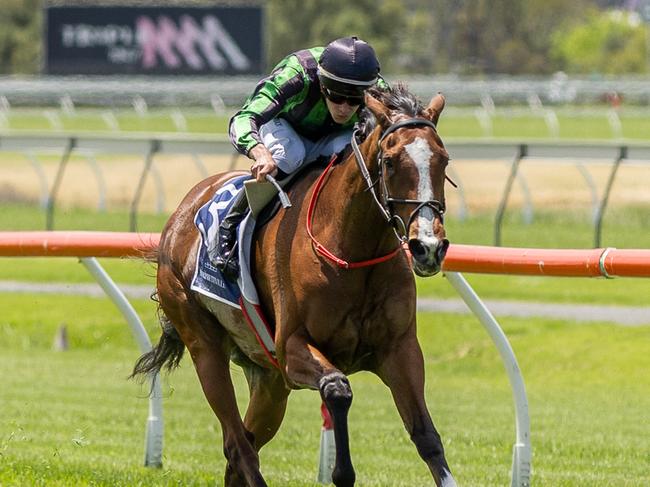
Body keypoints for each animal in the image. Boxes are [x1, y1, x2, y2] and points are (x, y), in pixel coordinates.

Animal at [132, 85, 456, 487]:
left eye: (443, 160)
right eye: (391, 161)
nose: (428, 246)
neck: (350, 248)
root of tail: (181, 214)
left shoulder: (399, 349)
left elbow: (427, 436)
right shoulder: (292, 348)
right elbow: (337, 389)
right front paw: (341, 471)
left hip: (269, 379)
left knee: (244, 446)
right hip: (204, 344)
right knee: (237, 443)